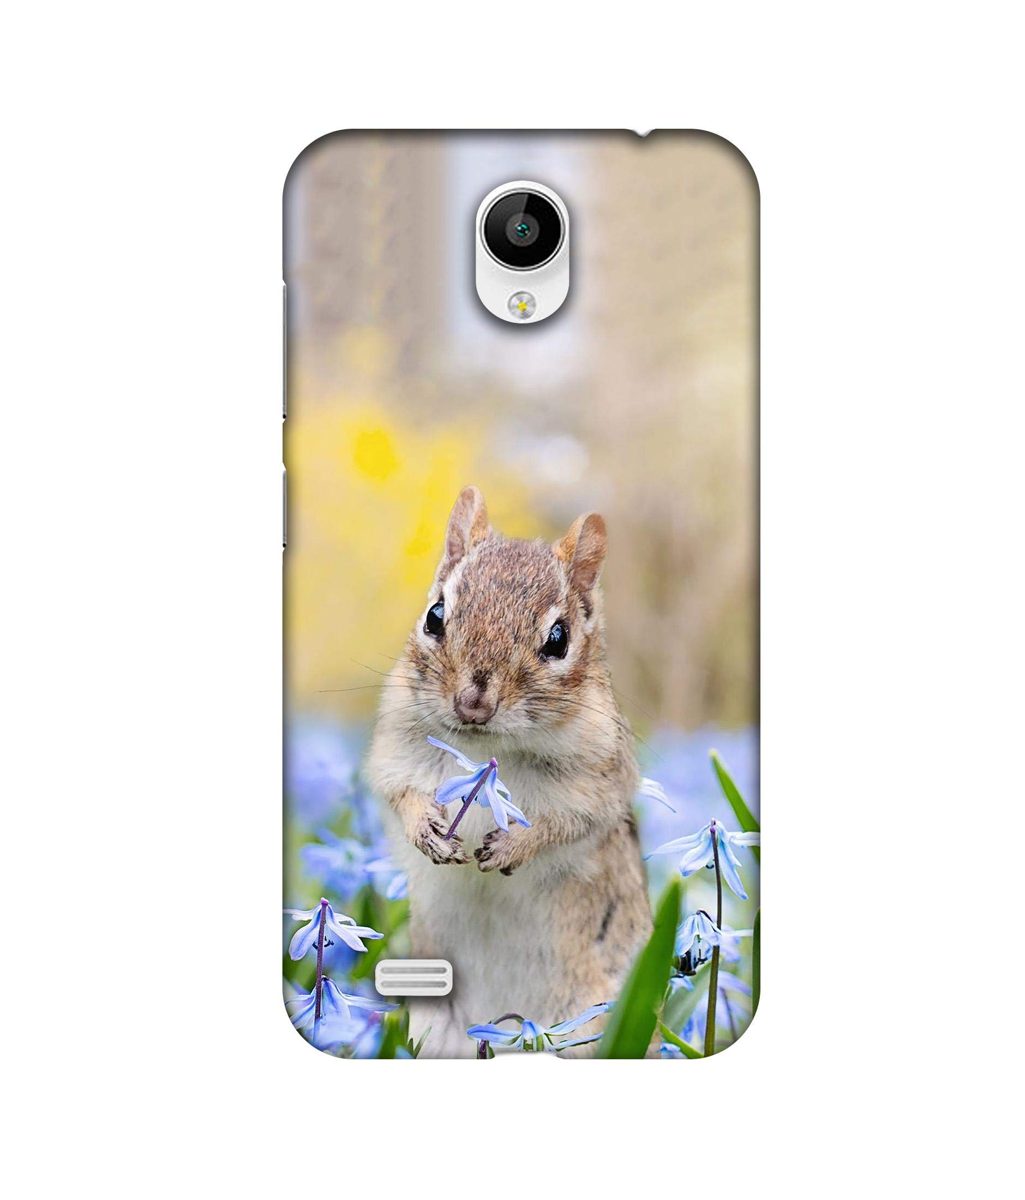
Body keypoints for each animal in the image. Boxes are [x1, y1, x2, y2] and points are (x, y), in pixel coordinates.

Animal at [366, 486, 652, 1057]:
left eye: (559, 638)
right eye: (434, 615)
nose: (473, 704)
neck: (488, 749)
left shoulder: (599, 784)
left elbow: (563, 825)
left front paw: (512, 846)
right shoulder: (395, 751)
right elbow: (401, 794)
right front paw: (428, 832)